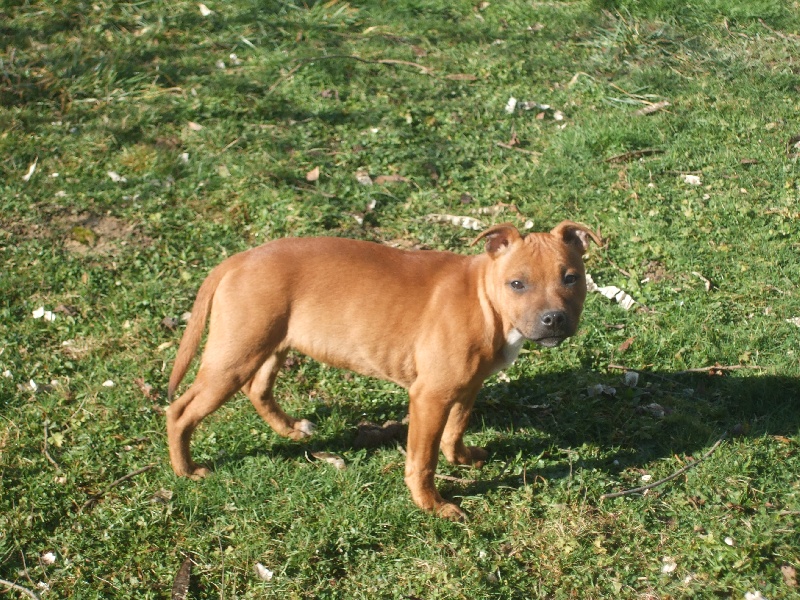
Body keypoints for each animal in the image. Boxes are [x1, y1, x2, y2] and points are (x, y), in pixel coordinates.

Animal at [166, 221, 600, 520]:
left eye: (571, 278)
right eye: (517, 284)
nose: (553, 319)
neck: (485, 300)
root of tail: (238, 259)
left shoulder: (466, 386)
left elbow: (457, 427)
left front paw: (461, 458)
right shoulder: (429, 397)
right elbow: (423, 460)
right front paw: (432, 505)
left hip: (271, 343)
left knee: (257, 389)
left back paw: (290, 429)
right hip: (233, 356)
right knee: (181, 411)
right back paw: (186, 470)